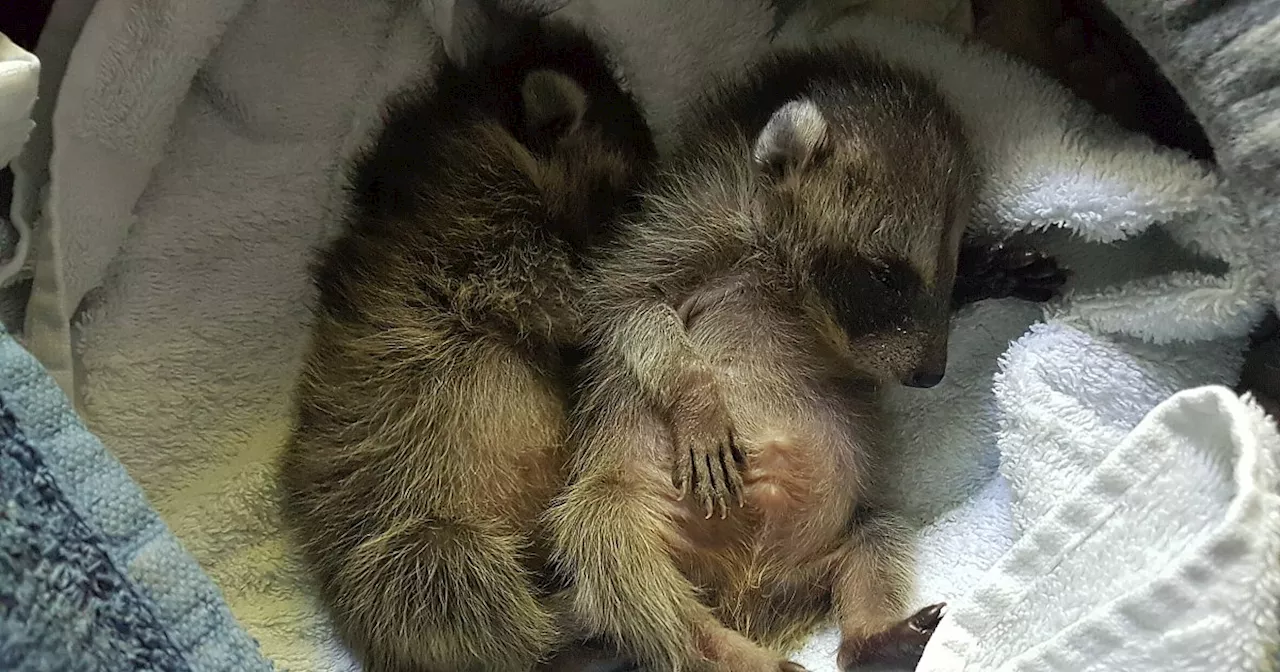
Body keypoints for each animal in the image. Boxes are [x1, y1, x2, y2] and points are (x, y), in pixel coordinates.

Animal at [281, 5, 660, 670]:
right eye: (630, 195)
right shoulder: (483, 236)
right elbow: (562, 297)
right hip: (406, 542)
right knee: (464, 590)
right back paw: (564, 617)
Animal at [550, 44, 1059, 665]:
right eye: (886, 276)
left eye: (948, 271)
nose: (930, 375)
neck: (792, 282)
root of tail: (743, 591)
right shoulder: (677, 231)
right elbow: (626, 312)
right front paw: (696, 397)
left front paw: (988, 273)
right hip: (622, 510)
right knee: (621, 557)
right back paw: (725, 652)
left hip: (820, 557)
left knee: (874, 539)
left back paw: (873, 636)